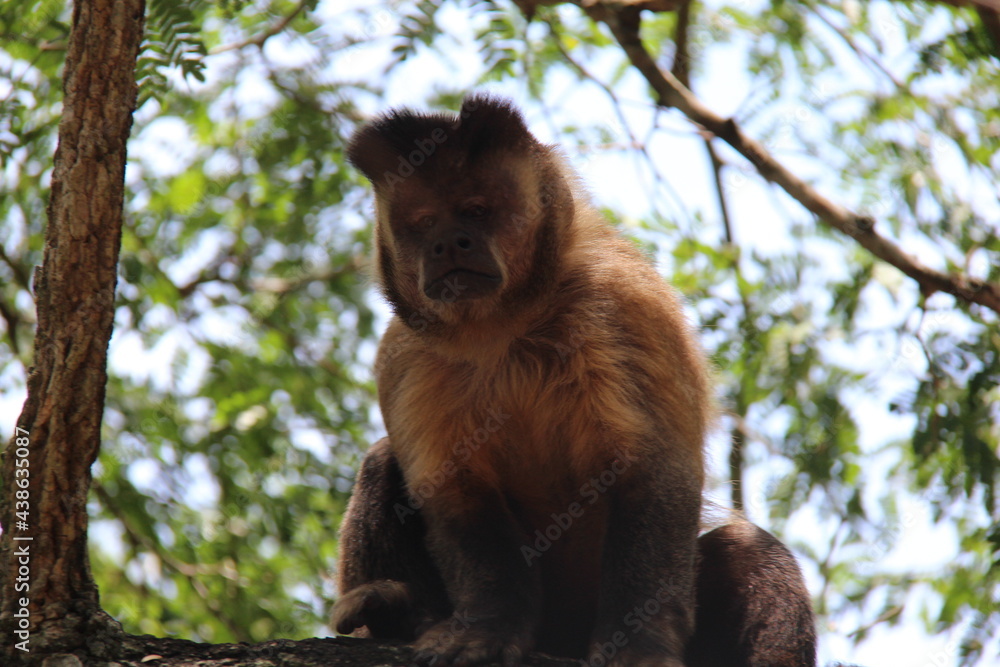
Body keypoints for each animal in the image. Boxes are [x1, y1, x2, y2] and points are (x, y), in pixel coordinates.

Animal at [331, 94, 817, 667]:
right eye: (425, 222)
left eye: (477, 209)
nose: (449, 242)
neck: (505, 329)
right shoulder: (404, 356)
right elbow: (455, 493)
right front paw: (487, 627)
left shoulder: (628, 303)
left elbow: (657, 471)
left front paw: (639, 645)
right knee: (383, 461)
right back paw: (399, 615)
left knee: (749, 550)